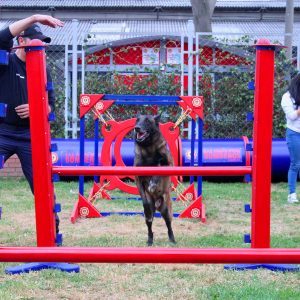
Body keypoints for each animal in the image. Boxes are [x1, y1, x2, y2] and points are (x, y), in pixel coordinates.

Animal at [134, 113, 176, 245]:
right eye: (137, 120)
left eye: (147, 121)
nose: (137, 128)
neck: (148, 148)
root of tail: (157, 204)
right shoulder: (137, 177)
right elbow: (144, 200)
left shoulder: (169, 165)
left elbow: (158, 169)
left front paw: (153, 183)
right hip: (149, 216)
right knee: (149, 224)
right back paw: (150, 240)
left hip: (166, 210)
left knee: (169, 225)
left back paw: (172, 239)